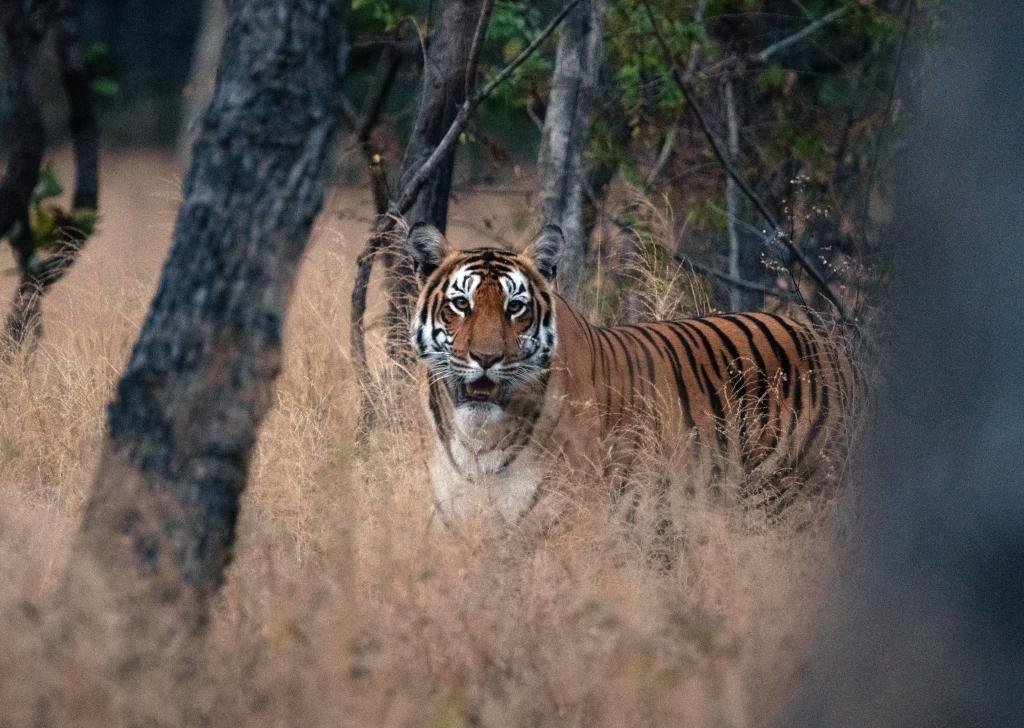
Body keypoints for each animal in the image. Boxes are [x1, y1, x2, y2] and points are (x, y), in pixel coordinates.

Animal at [406, 222, 854, 524]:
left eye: (515, 308)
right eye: (461, 304)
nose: (486, 357)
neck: (479, 439)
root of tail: (826, 341)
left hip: (789, 498)